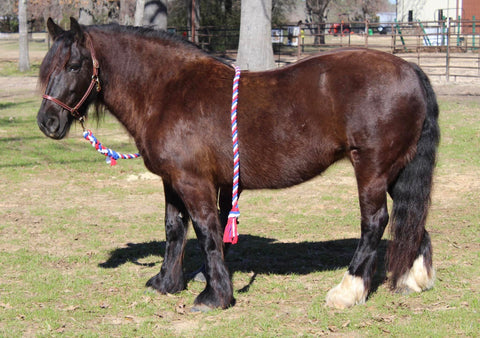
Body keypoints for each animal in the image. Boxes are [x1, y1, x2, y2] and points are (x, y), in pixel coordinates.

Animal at [37, 17, 440, 310]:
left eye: (74, 64)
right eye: (47, 67)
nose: (47, 122)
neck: (168, 91)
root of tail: (410, 70)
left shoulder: (194, 182)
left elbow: (207, 232)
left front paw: (214, 296)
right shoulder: (173, 181)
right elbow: (174, 229)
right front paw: (166, 283)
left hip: (371, 168)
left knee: (375, 222)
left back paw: (347, 291)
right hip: (397, 171)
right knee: (412, 218)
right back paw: (412, 279)